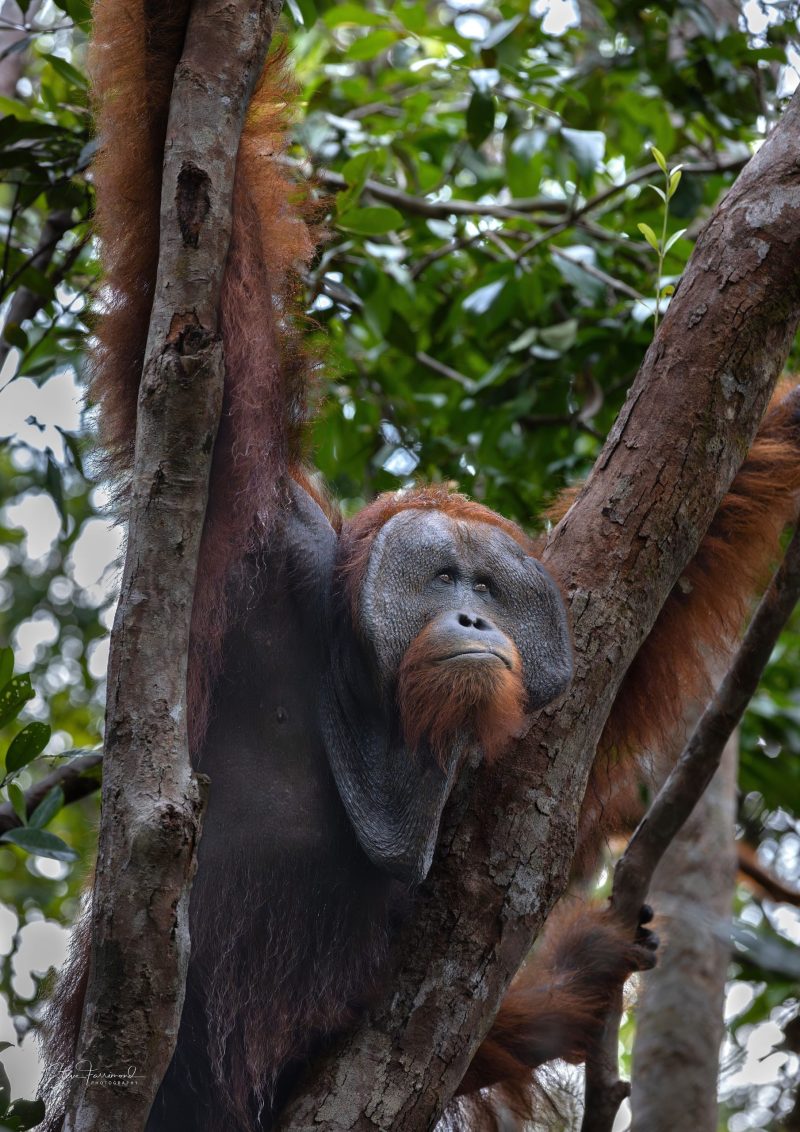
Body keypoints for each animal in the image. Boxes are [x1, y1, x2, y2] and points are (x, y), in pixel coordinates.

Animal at [37, 4, 800, 1131]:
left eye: (491, 589)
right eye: (442, 581)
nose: (476, 622)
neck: (360, 688)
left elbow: (685, 525)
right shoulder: (259, 527)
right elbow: (208, 285)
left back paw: (560, 988)